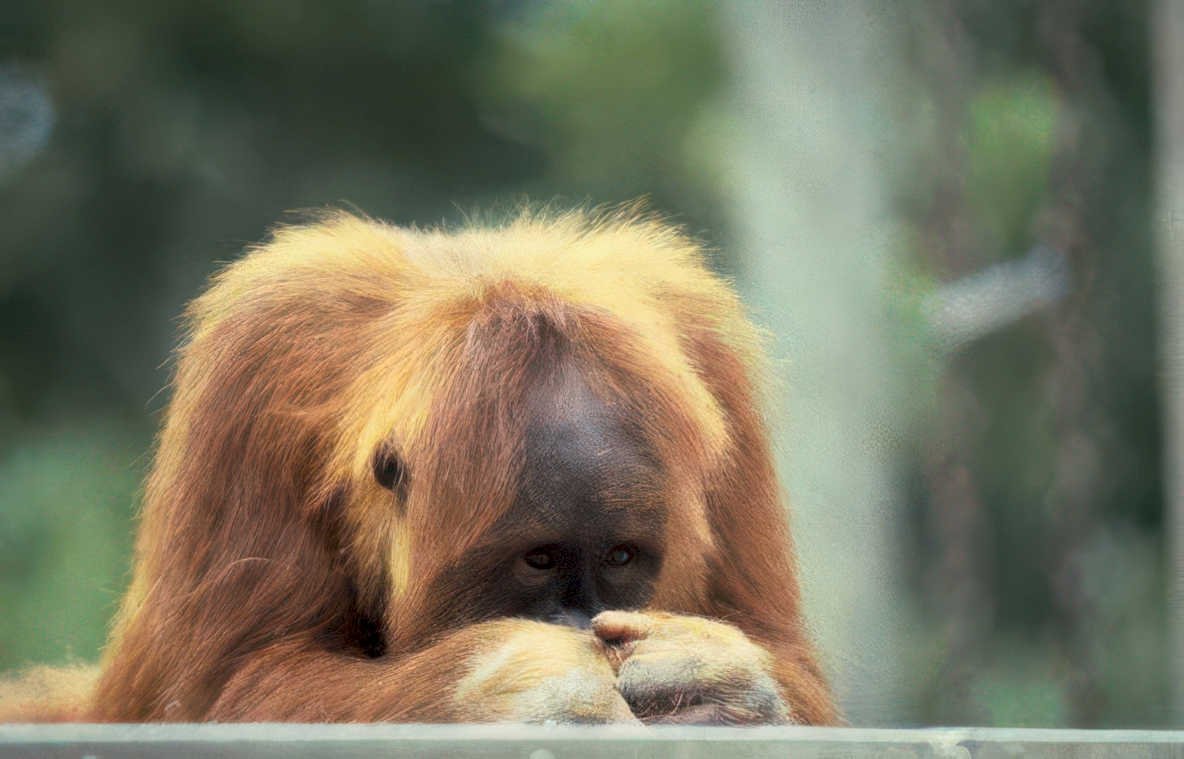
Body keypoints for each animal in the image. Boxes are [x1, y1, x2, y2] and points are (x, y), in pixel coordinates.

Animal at [2, 209, 836, 725]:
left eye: (622, 556)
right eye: (539, 559)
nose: (578, 623)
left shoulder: (713, 360)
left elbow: (782, 650)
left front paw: (717, 680)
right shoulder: (251, 372)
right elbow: (227, 684)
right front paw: (515, 683)